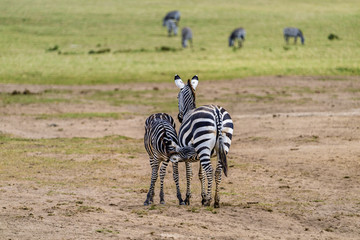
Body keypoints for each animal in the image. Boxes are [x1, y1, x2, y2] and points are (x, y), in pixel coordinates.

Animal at [173, 75, 235, 208]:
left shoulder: (186, 153)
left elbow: (189, 174)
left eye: (177, 97)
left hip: (203, 145)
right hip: (222, 146)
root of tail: (217, 112)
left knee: (210, 171)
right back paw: (216, 200)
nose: (179, 118)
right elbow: (201, 175)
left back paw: (209, 201)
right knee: (217, 171)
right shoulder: (200, 153)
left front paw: (188, 198)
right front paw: (203, 197)